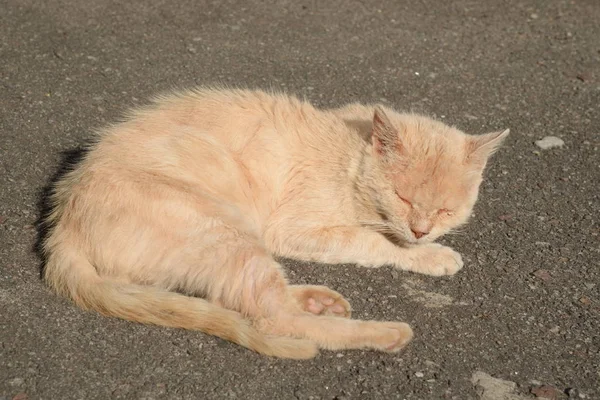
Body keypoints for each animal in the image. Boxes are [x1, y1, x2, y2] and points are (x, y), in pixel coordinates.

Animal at [42, 88, 508, 360]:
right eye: (403, 197)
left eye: (446, 210)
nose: (421, 229)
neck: (350, 157)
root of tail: (63, 222)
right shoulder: (295, 229)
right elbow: (373, 242)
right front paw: (430, 254)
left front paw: (425, 247)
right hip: (224, 230)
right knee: (271, 316)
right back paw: (383, 332)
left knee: (250, 298)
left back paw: (319, 300)